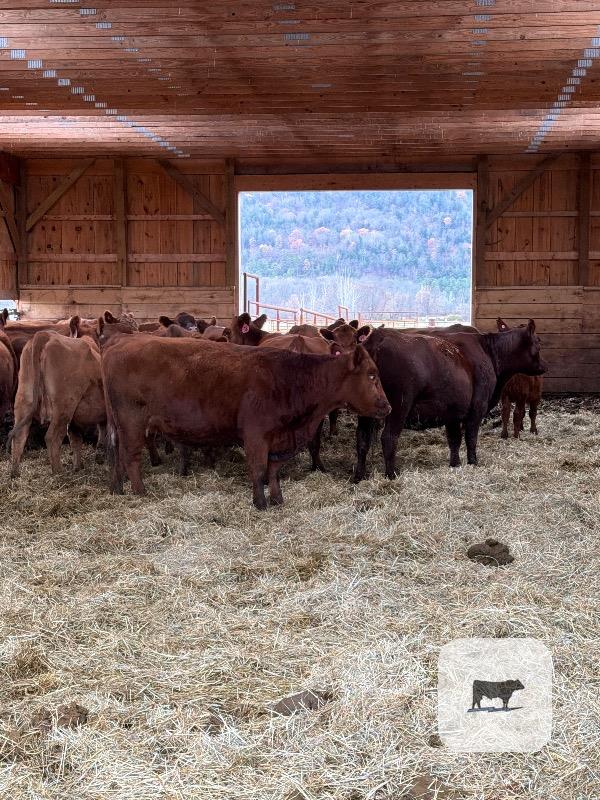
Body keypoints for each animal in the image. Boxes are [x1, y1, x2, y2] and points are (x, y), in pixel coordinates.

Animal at [9, 329, 106, 476]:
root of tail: (46, 335)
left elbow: (76, 439)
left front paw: (78, 467)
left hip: (25, 399)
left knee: (19, 436)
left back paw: (15, 473)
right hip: (64, 406)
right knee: (52, 437)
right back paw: (59, 472)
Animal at [102, 336, 390, 508]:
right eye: (372, 375)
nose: (387, 406)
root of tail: (116, 347)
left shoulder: (279, 438)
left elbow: (274, 470)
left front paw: (277, 499)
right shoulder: (256, 435)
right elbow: (259, 469)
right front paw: (260, 502)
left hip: (120, 424)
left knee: (117, 454)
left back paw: (117, 488)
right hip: (132, 422)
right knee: (130, 456)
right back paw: (140, 491)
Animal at [353, 321, 546, 482]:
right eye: (538, 342)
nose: (544, 367)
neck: (488, 351)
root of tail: (378, 338)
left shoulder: (452, 412)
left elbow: (454, 439)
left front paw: (455, 464)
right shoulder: (477, 408)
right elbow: (470, 438)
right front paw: (473, 462)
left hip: (366, 412)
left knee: (362, 439)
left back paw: (360, 476)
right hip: (399, 406)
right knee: (388, 438)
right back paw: (392, 475)